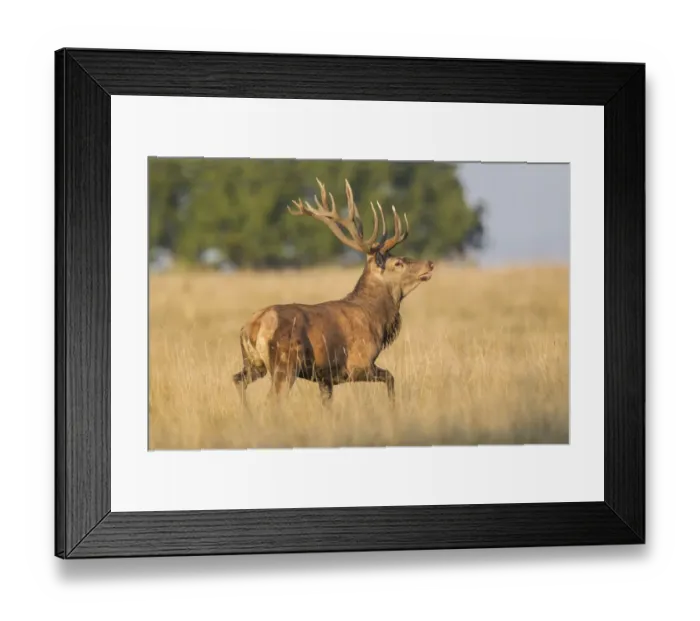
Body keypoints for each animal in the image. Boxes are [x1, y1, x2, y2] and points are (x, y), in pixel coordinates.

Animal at [232, 178, 435, 407]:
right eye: (398, 263)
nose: (429, 263)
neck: (377, 320)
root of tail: (252, 327)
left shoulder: (325, 377)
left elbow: (327, 405)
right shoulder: (358, 364)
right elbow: (390, 378)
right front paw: (392, 408)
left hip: (254, 363)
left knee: (238, 379)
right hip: (285, 363)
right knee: (271, 400)